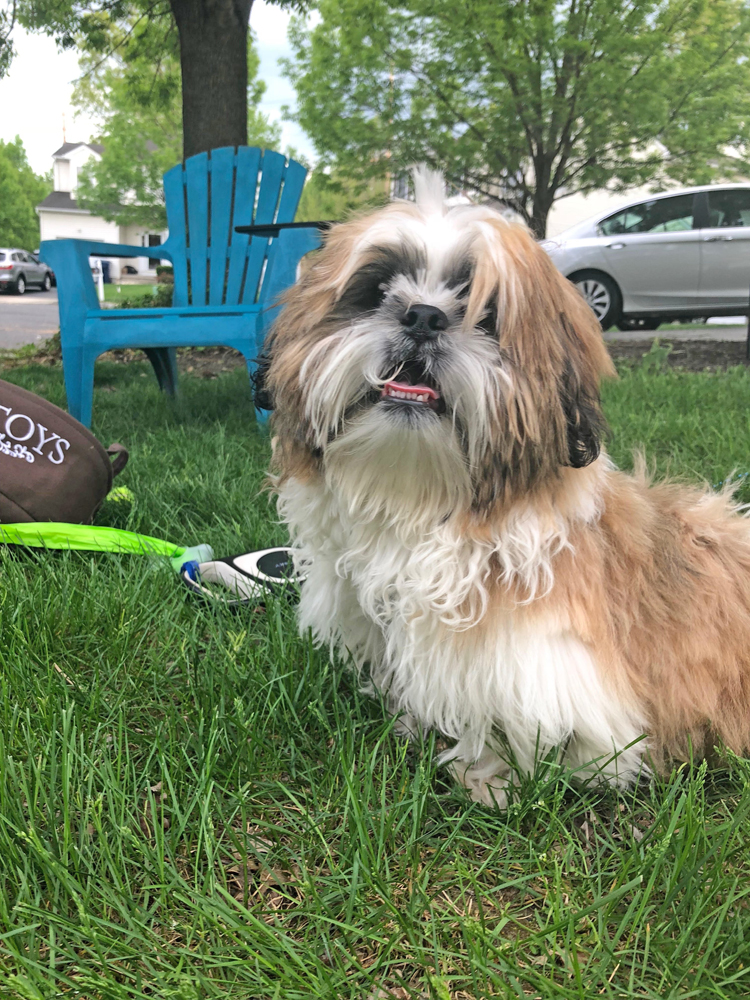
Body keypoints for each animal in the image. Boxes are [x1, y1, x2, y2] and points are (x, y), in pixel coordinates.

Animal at [262, 168, 750, 808]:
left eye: (485, 313)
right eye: (376, 289)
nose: (422, 316)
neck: (423, 509)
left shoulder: (548, 672)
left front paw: (486, 776)